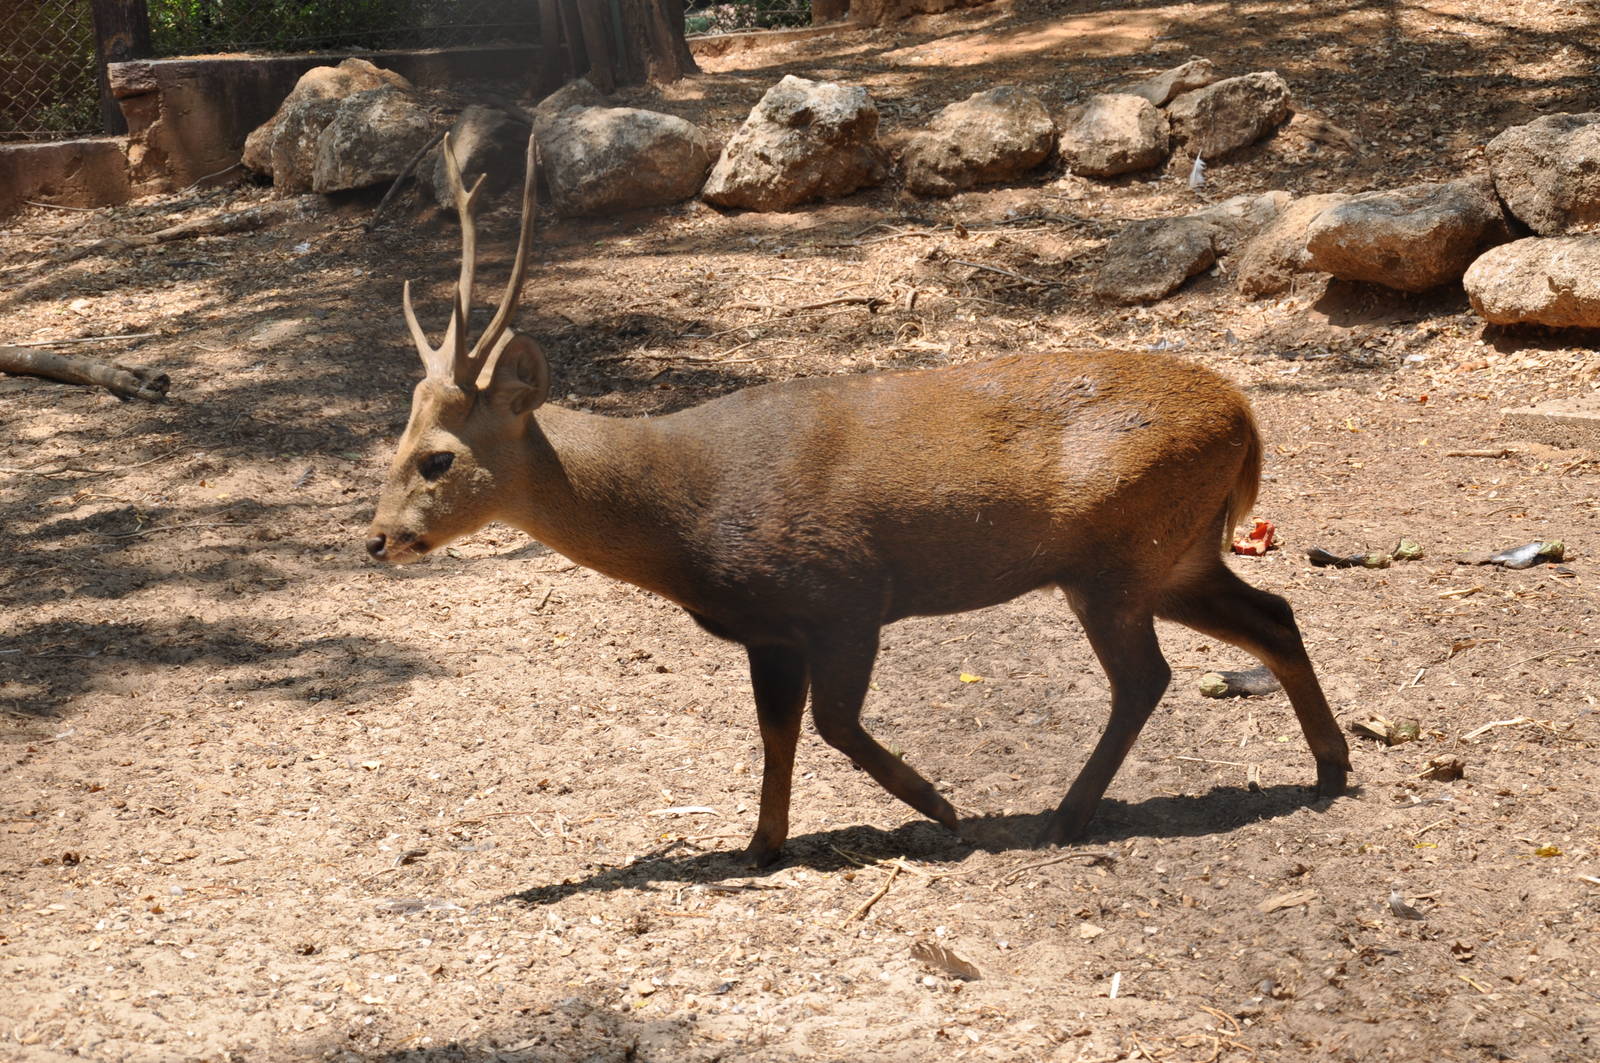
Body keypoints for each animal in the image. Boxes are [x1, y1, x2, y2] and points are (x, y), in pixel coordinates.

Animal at [366, 134, 1351, 867]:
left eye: (437, 459)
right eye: (394, 444)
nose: (376, 540)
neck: (684, 520)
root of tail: (1245, 416)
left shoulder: (841, 590)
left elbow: (833, 721)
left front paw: (941, 807)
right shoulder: (770, 628)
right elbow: (778, 732)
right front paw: (761, 843)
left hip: (1117, 553)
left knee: (1148, 675)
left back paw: (1065, 815)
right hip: (1175, 552)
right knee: (1274, 614)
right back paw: (1329, 768)